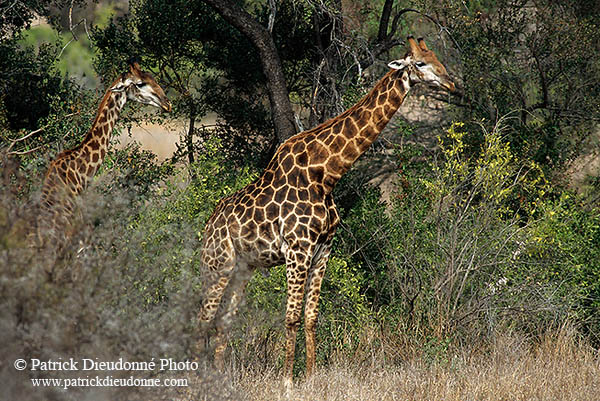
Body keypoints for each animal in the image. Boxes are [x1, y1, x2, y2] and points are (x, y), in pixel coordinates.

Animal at [197, 36, 454, 382]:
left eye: (436, 56)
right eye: (421, 63)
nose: (450, 82)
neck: (326, 174)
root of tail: (208, 227)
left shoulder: (323, 250)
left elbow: (311, 317)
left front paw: (310, 377)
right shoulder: (298, 249)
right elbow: (291, 317)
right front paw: (288, 381)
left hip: (242, 268)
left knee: (224, 320)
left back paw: (218, 376)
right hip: (218, 264)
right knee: (203, 319)